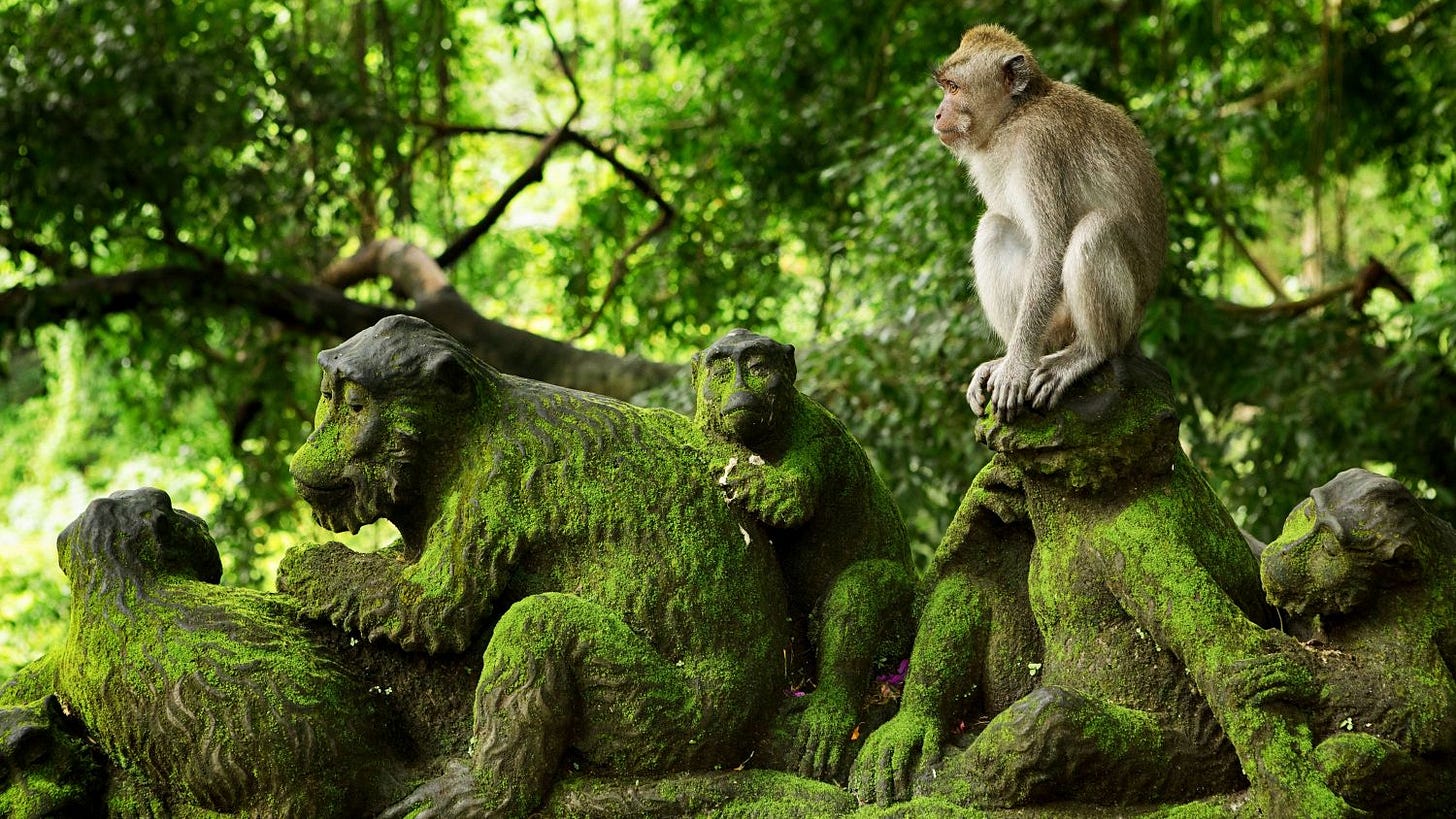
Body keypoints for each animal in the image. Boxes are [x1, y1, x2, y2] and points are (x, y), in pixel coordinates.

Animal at [934, 24, 1166, 421]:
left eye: (954, 87)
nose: (937, 114)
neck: (1015, 116)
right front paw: (1009, 363)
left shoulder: (1038, 146)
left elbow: (1053, 243)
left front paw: (1015, 368)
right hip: (1055, 324)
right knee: (995, 226)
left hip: (1109, 320)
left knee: (1095, 230)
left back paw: (1086, 352)